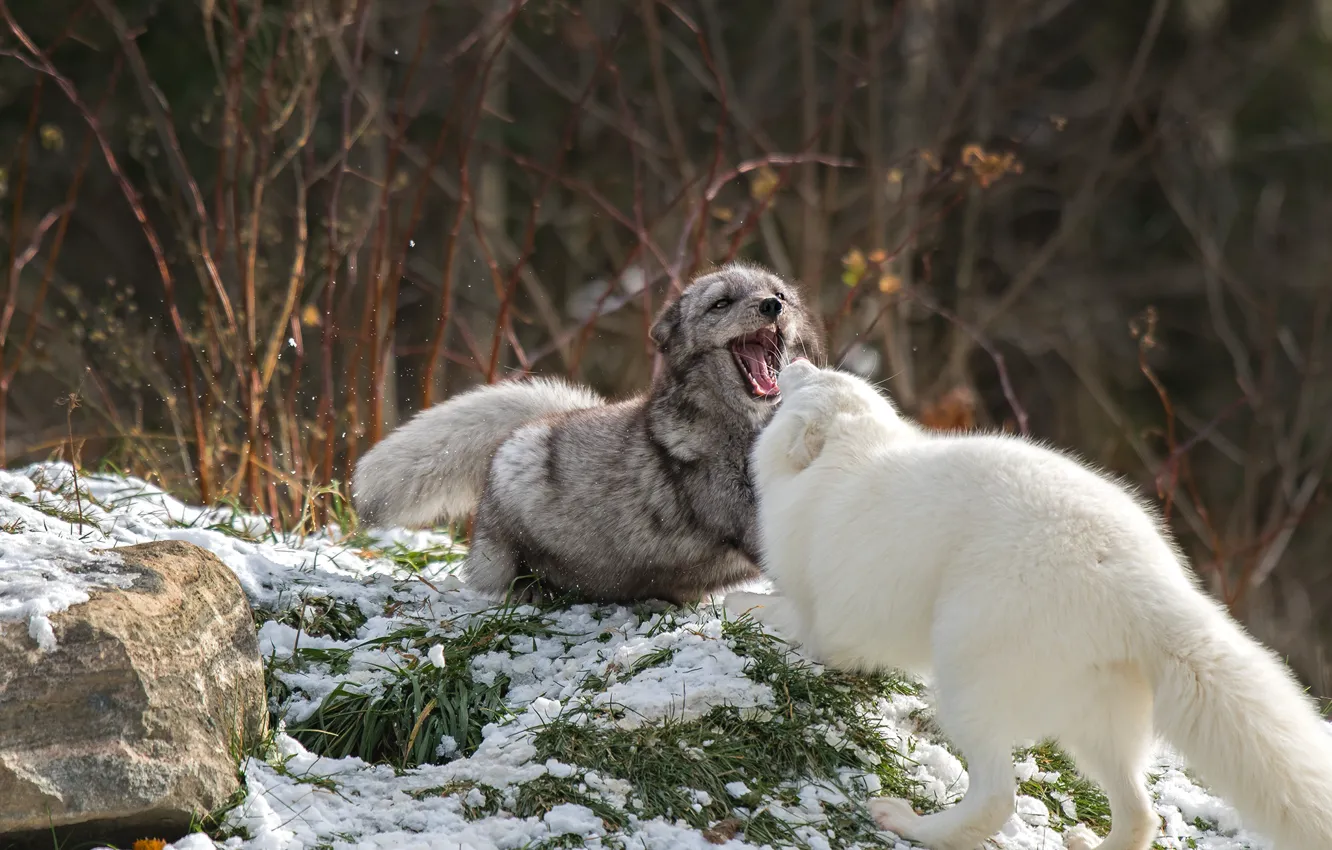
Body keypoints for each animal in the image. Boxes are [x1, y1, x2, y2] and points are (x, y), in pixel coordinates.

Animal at [352, 262, 823, 604]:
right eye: (721, 303)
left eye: (779, 294)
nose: (772, 306)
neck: (746, 430)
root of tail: (540, 422)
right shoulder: (751, 522)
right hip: (514, 492)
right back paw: (535, 589)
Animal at [727, 359, 1332, 850]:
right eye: (828, 375)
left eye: (810, 382)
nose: (795, 361)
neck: (851, 457)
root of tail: (1144, 581)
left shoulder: (825, 622)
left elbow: (768, 612)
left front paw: (735, 604)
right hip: (1098, 724)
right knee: (1142, 816)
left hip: (969, 677)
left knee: (997, 799)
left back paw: (910, 824)